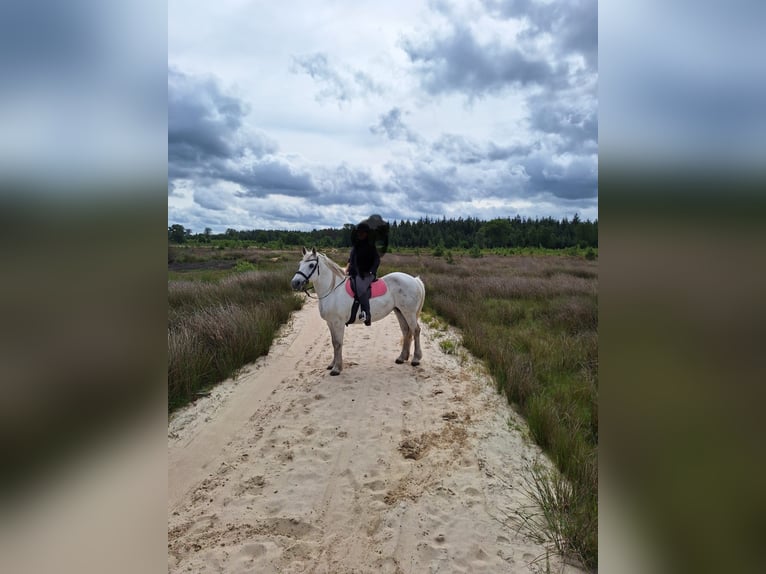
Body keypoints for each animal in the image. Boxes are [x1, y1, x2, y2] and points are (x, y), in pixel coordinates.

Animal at [291, 247, 425, 376]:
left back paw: (416, 359)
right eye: (300, 263)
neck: (333, 290)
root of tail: (414, 280)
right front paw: (332, 364)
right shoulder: (330, 323)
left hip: (409, 313)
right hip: (399, 311)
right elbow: (334, 343)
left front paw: (337, 369)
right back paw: (402, 358)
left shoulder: (338, 323)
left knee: (416, 330)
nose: (295, 283)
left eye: (311, 265)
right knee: (406, 331)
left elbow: (338, 343)